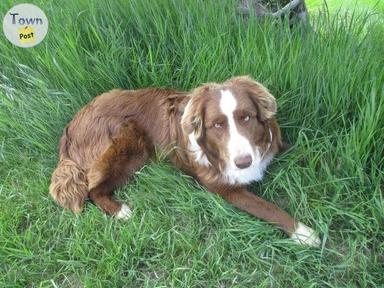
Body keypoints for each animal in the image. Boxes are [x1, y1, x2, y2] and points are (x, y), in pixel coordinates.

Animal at [51, 75, 320, 246]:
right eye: (217, 125)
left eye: (246, 117)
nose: (243, 162)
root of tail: (70, 126)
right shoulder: (225, 188)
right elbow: (267, 207)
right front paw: (304, 233)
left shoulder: (276, 146)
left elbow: (310, 154)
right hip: (125, 144)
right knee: (93, 189)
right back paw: (121, 212)